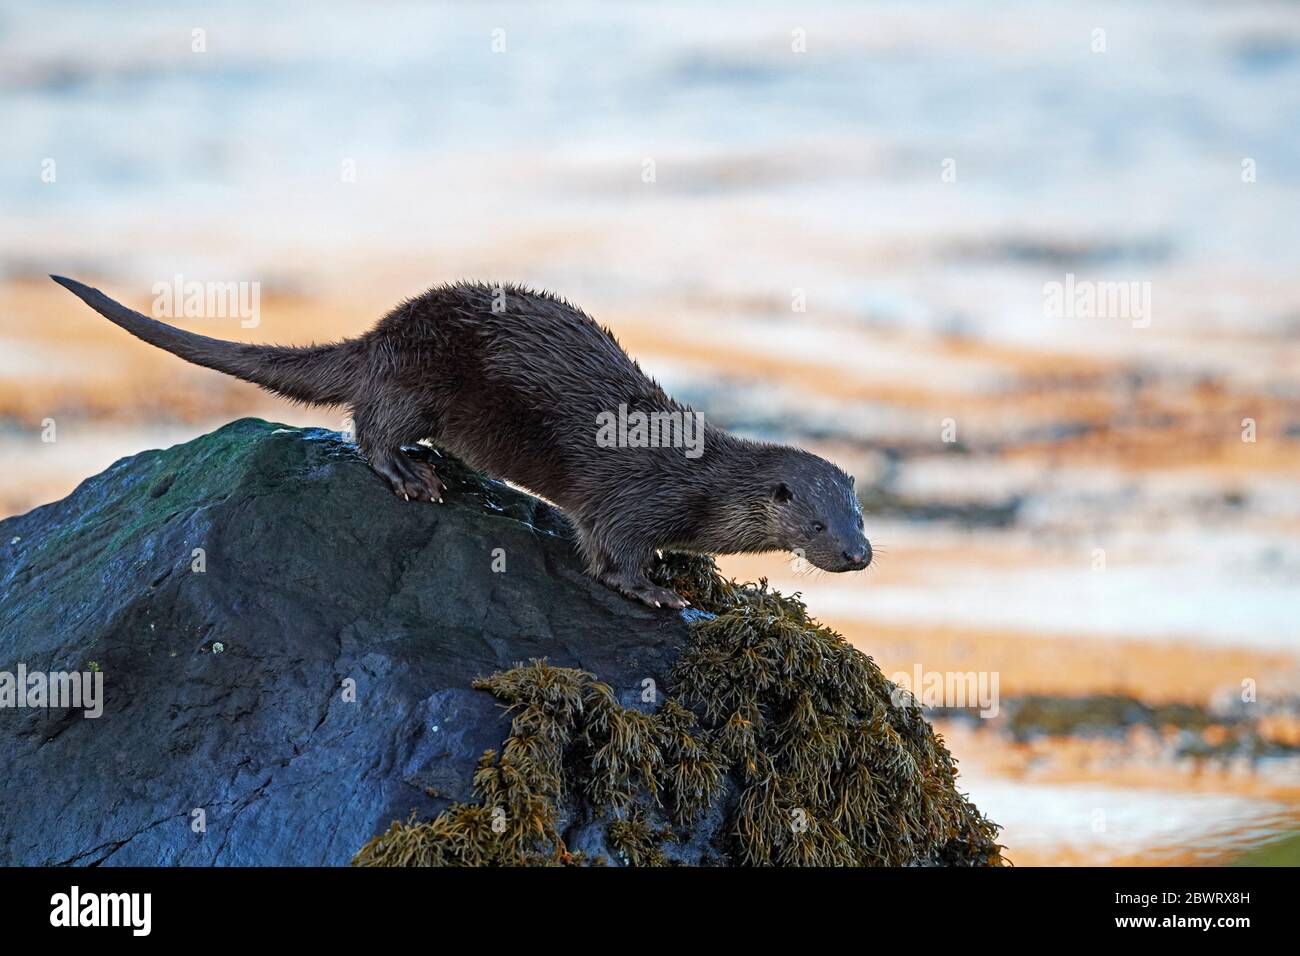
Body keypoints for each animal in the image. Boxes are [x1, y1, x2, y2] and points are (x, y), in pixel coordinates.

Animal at [50, 274, 868, 606]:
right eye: (816, 524)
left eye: (859, 518)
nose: (859, 555)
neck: (701, 482)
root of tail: (379, 336)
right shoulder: (633, 500)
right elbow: (610, 555)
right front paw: (657, 590)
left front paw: (694, 572)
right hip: (416, 382)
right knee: (370, 427)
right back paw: (414, 476)